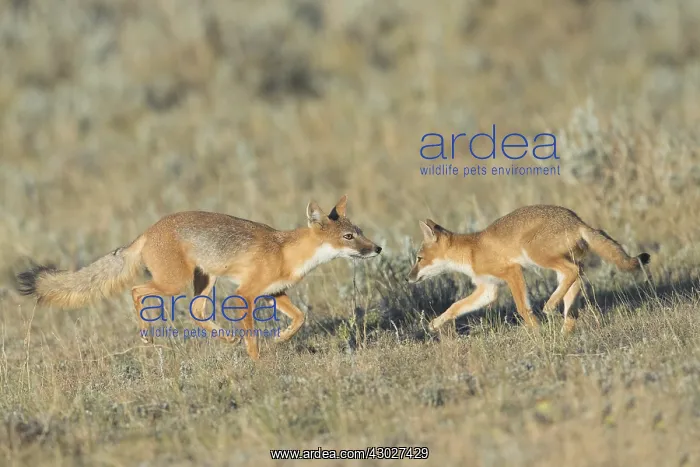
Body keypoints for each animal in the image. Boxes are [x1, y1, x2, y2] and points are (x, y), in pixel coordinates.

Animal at [15, 195, 382, 360]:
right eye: (349, 237)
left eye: (360, 232)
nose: (378, 248)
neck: (286, 251)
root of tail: (148, 230)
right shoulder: (245, 295)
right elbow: (253, 336)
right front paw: (258, 362)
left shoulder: (274, 293)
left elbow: (300, 318)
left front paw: (280, 339)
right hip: (174, 283)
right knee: (137, 290)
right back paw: (147, 338)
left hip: (204, 283)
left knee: (198, 311)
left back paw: (225, 338)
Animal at [406, 205, 651, 334]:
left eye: (418, 258)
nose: (408, 278)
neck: (471, 252)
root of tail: (577, 221)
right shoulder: (488, 289)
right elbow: (455, 306)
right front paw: (435, 323)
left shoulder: (512, 272)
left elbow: (523, 308)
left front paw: (537, 331)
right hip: (561, 269)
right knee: (573, 294)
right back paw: (564, 332)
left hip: (537, 254)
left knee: (572, 272)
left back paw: (550, 306)